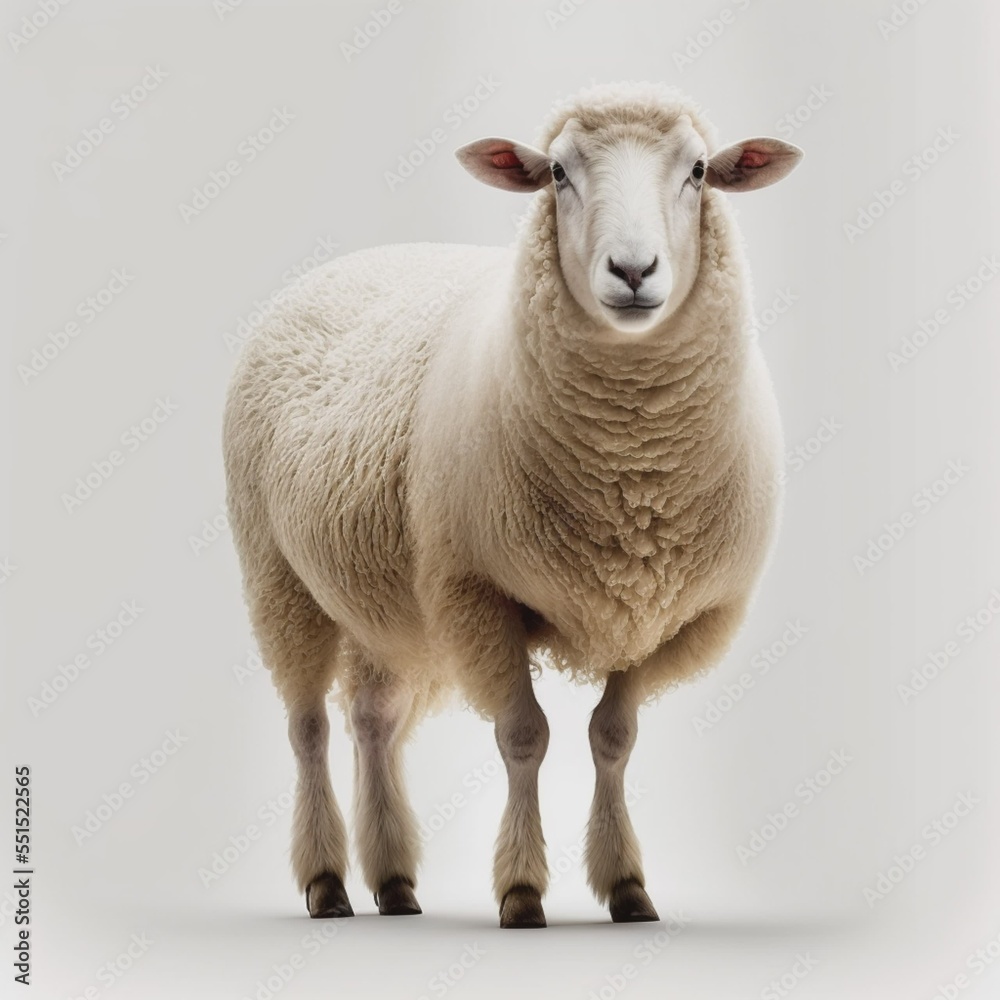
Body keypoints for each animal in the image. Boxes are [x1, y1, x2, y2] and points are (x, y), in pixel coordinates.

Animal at [222, 81, 803, 928]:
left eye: (699, 170)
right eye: (557, 172)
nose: (634, 270)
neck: (631, 476)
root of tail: (345, 262)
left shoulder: (668, 616)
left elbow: (613, 737)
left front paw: (626, 885)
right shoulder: (475, 592)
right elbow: (524, 736)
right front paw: (523, 889)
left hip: (388, 604)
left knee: (373, 720)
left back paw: (393, 882)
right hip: (278, 575)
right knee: (308, 728)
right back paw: (327, 881)